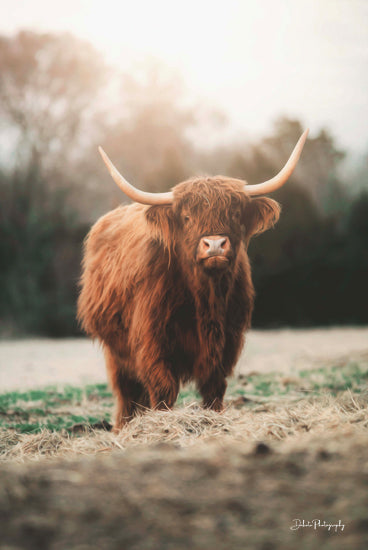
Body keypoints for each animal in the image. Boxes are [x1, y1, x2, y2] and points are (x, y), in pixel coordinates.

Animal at [77, 129, 308, 432]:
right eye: (187, 217)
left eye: (235, 214)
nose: (215, 245)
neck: (206, 297)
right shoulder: (152, 342)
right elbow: (163, 388)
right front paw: (163, 425)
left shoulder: (227, 342)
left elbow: (214, 388)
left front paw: (214, 420)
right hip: (115, 349)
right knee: (126, 391)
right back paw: (123, 428)